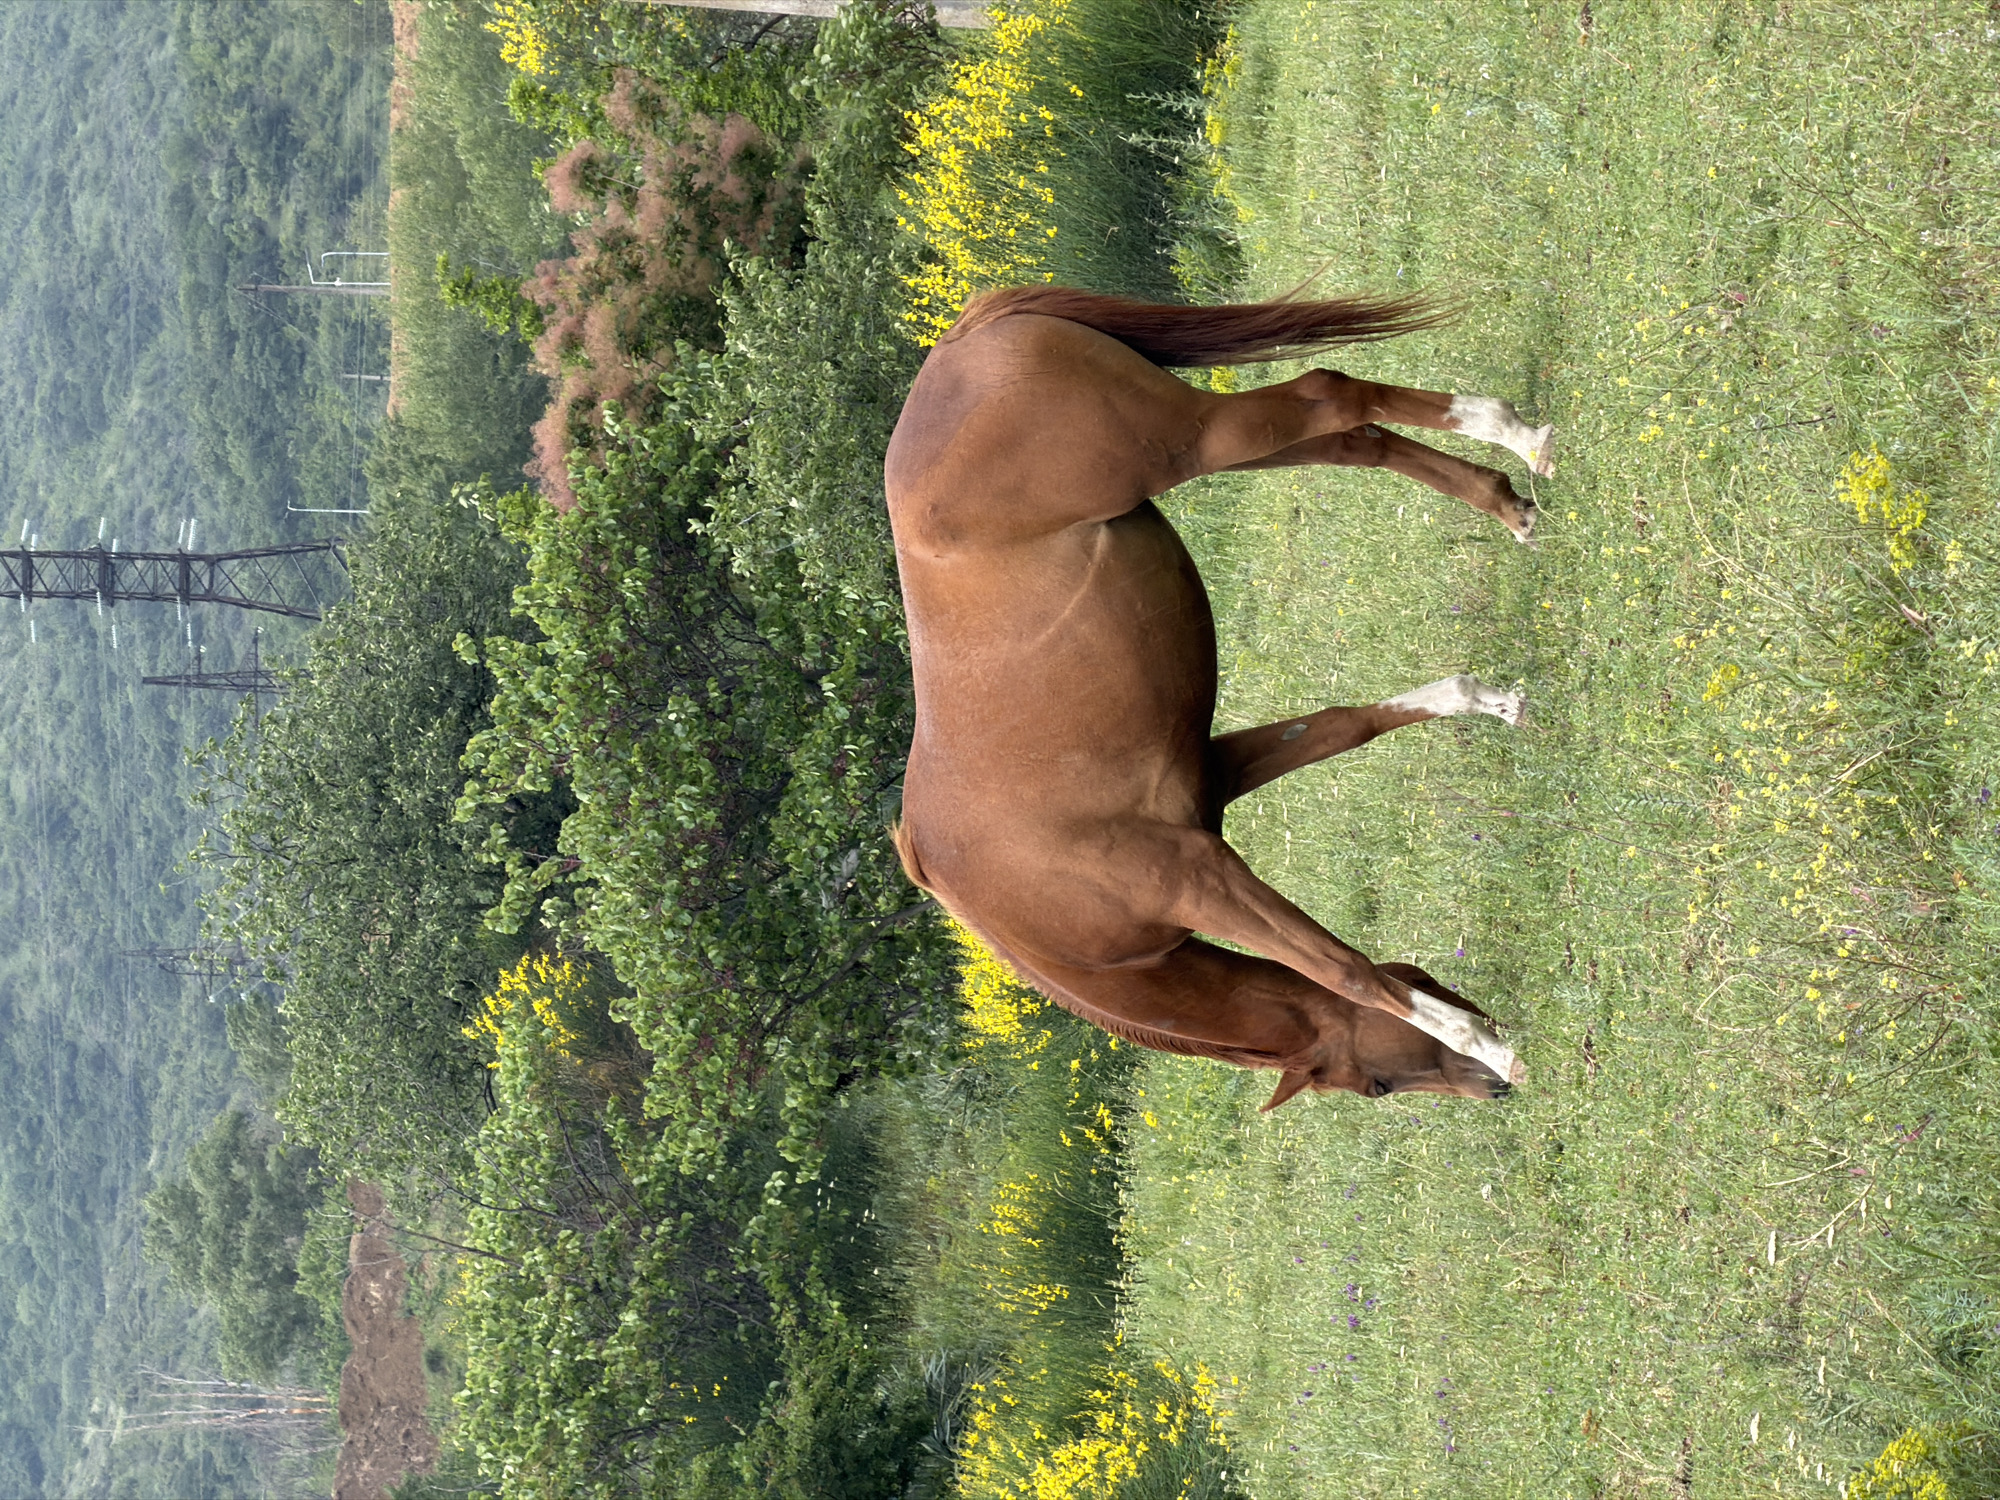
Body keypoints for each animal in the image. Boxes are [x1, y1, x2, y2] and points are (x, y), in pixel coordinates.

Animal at [885, 286, 1552, 1108]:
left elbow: (1348, 973)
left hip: (1192, 440)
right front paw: (1489, 701)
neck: (1046, 923)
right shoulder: (1214, 778)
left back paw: (1521, 436)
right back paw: (1507, 500)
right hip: (1236, 445)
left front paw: (1492, 1045)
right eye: (1378, 1087)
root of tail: (954, 347)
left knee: (1329, 394)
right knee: (1354, 440)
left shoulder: (1202, 879)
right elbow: (1348, 726)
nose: (1493, 1093)